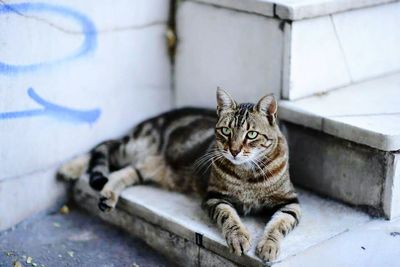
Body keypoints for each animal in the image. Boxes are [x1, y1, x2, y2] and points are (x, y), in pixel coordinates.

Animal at [58, 88, 300, 264]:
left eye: (251, 134)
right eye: (226, 131)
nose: (233, 150)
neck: (248, 173)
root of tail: (161, 115)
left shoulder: (290, 202)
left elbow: (279, 223)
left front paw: (268, 246)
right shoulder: (215, 197)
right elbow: (229, 217)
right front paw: (239, 237)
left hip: (147, 166)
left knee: (122, 171)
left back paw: (107, 196)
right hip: (132, 146)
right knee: (103, 145)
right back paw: (69, 168)